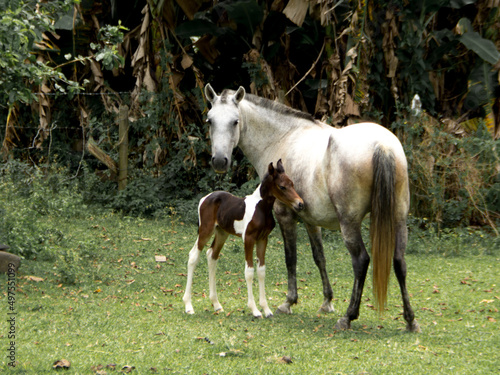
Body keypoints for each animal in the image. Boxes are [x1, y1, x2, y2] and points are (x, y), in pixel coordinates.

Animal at [182, 160, 302, 318]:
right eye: (282, 186)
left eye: (292, 184)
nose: (300, 204)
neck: (261, 209)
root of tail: (204, 198)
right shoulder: (249, 239)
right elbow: (249, 271)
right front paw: (255, 310)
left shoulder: (263, 239)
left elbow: (261, 270)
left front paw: (266, 309)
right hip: (205, 230)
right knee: (193, 256)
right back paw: (188, 306)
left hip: (222, 233)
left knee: (212, 255)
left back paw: (216, 304)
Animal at [203, 83, 422, 334]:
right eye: (210, 120)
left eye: (235, 121)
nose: (220, 161)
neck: (283, 137)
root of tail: (382, 146)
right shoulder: (311, 221)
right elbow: (320, 257)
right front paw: (327, 301)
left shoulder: (285, 217)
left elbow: (291, 258)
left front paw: (289, 302)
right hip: (398, 220)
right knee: (399, 262)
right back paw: (410, 320)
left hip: (350, 223)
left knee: (361, 261)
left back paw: (348, 316)